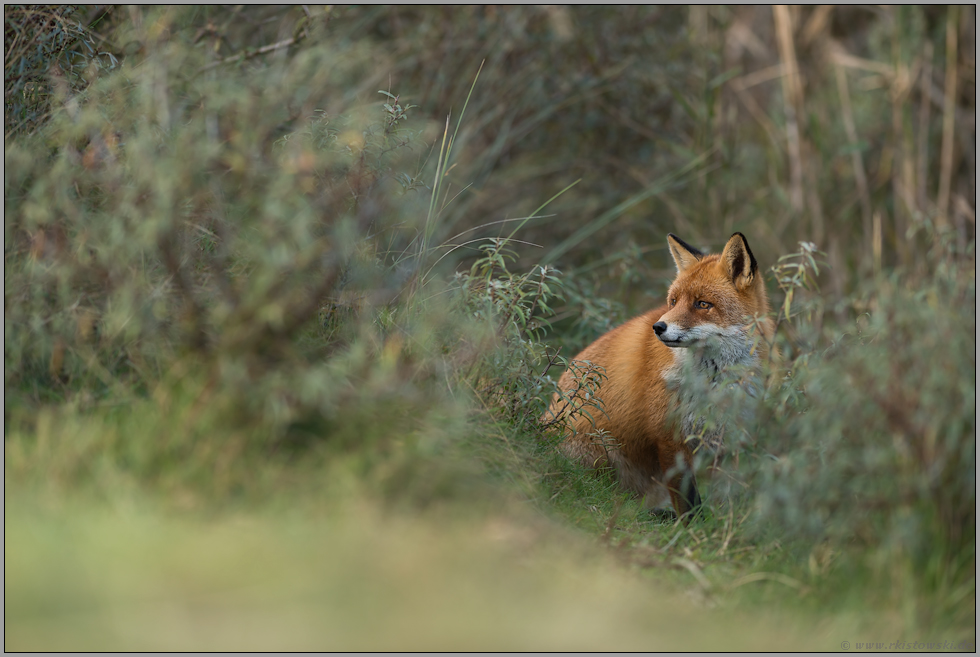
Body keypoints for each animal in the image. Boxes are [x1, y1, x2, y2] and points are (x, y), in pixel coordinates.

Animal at [544, 233, 772, 520]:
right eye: (673, 302)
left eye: (702, 304)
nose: (658, 327)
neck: (713, 382)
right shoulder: (669, 435)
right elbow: (688, 499)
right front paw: (692, 527)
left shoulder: (727, 435)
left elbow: (725, 495)